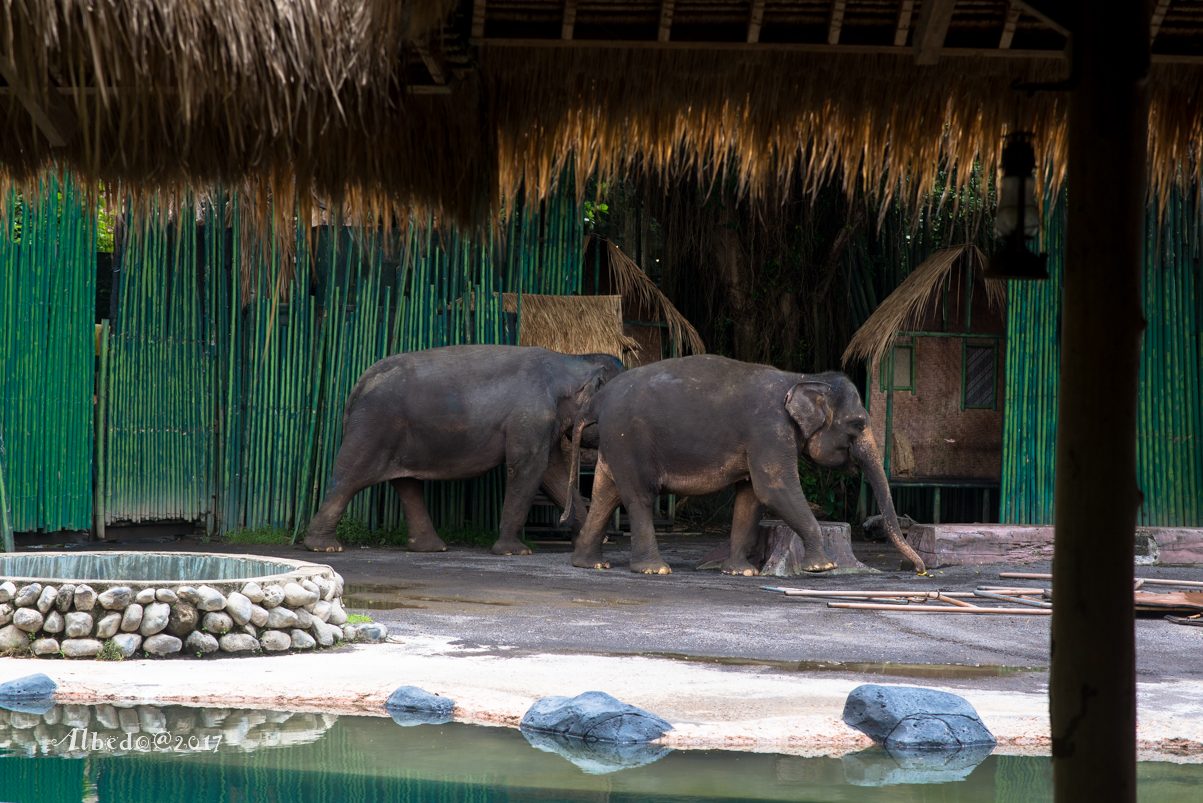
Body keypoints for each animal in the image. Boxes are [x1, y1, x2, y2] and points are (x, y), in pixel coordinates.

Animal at [300, 346, 625, 558]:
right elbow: (527, 468)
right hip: (374, 426)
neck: (572, 360)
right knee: (350, 476)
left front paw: (588, 541)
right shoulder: (532, 414)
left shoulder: (545, 421)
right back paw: (323, 546)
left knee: (407, 484)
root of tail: (361, 381)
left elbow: (552, 474)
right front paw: (515, 553)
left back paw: (432, 548)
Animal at [558, 358, 923, 577]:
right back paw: (654, 570)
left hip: (614, 444)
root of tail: (597, 400)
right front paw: (822, 567)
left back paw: (590, 563)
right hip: (629, 440)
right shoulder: (769, 430)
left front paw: (740, 572)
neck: (802, 377)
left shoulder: (760, 440)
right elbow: (774, 489)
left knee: (605, 494)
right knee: (638, 497)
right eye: (858, 423)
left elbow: (751, 497)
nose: (916, 568)